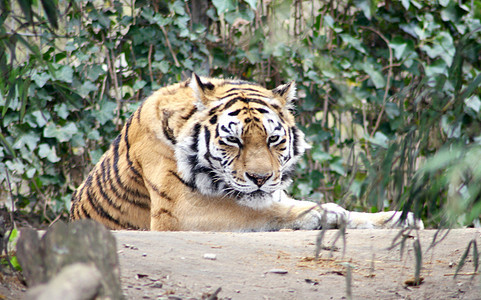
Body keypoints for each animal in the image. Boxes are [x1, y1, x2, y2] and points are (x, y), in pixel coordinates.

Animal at [69, 74, 422, 231]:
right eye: (233, 140)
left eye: (273, 139)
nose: (260, 178)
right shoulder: (181, 212)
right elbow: (263, 211)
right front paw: (325, 213)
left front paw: (399, 218)